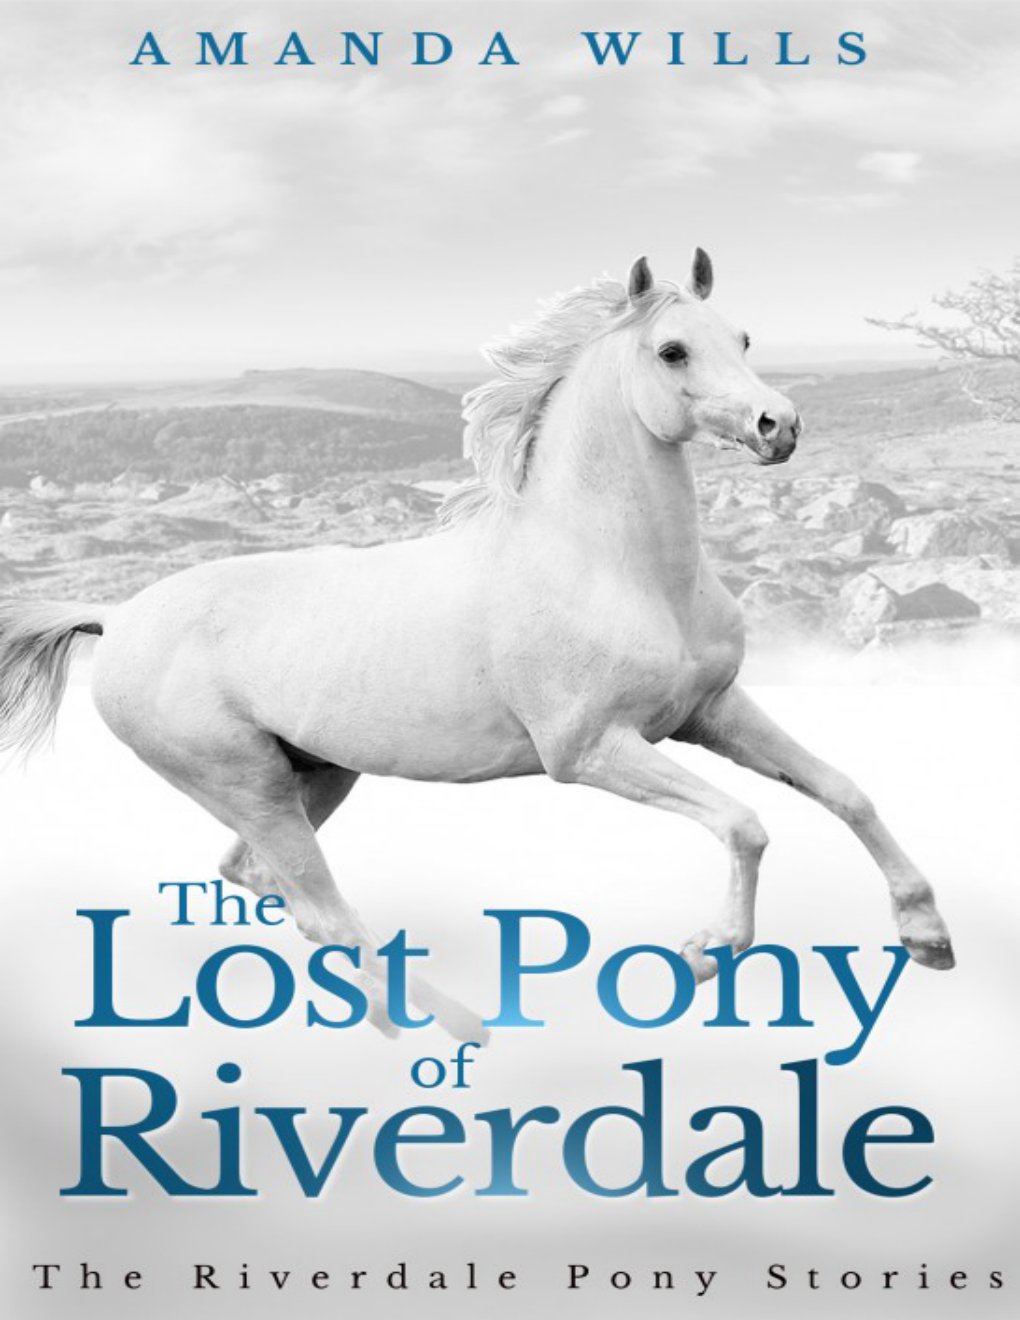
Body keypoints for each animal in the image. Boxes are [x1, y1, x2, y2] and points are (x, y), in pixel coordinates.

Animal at [0, 249, 954, 1038]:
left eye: (744, 336)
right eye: (673, 352)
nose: (777, 427)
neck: (613, 568)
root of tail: (116, 617)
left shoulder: (710, 713)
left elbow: (843, 791)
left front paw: (926, 935)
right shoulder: (590, 751)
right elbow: (746, 824)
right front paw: (707, 951)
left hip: (319, 773)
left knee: (268, 885)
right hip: (244, 783)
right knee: (322, 907)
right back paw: (455, 1032)